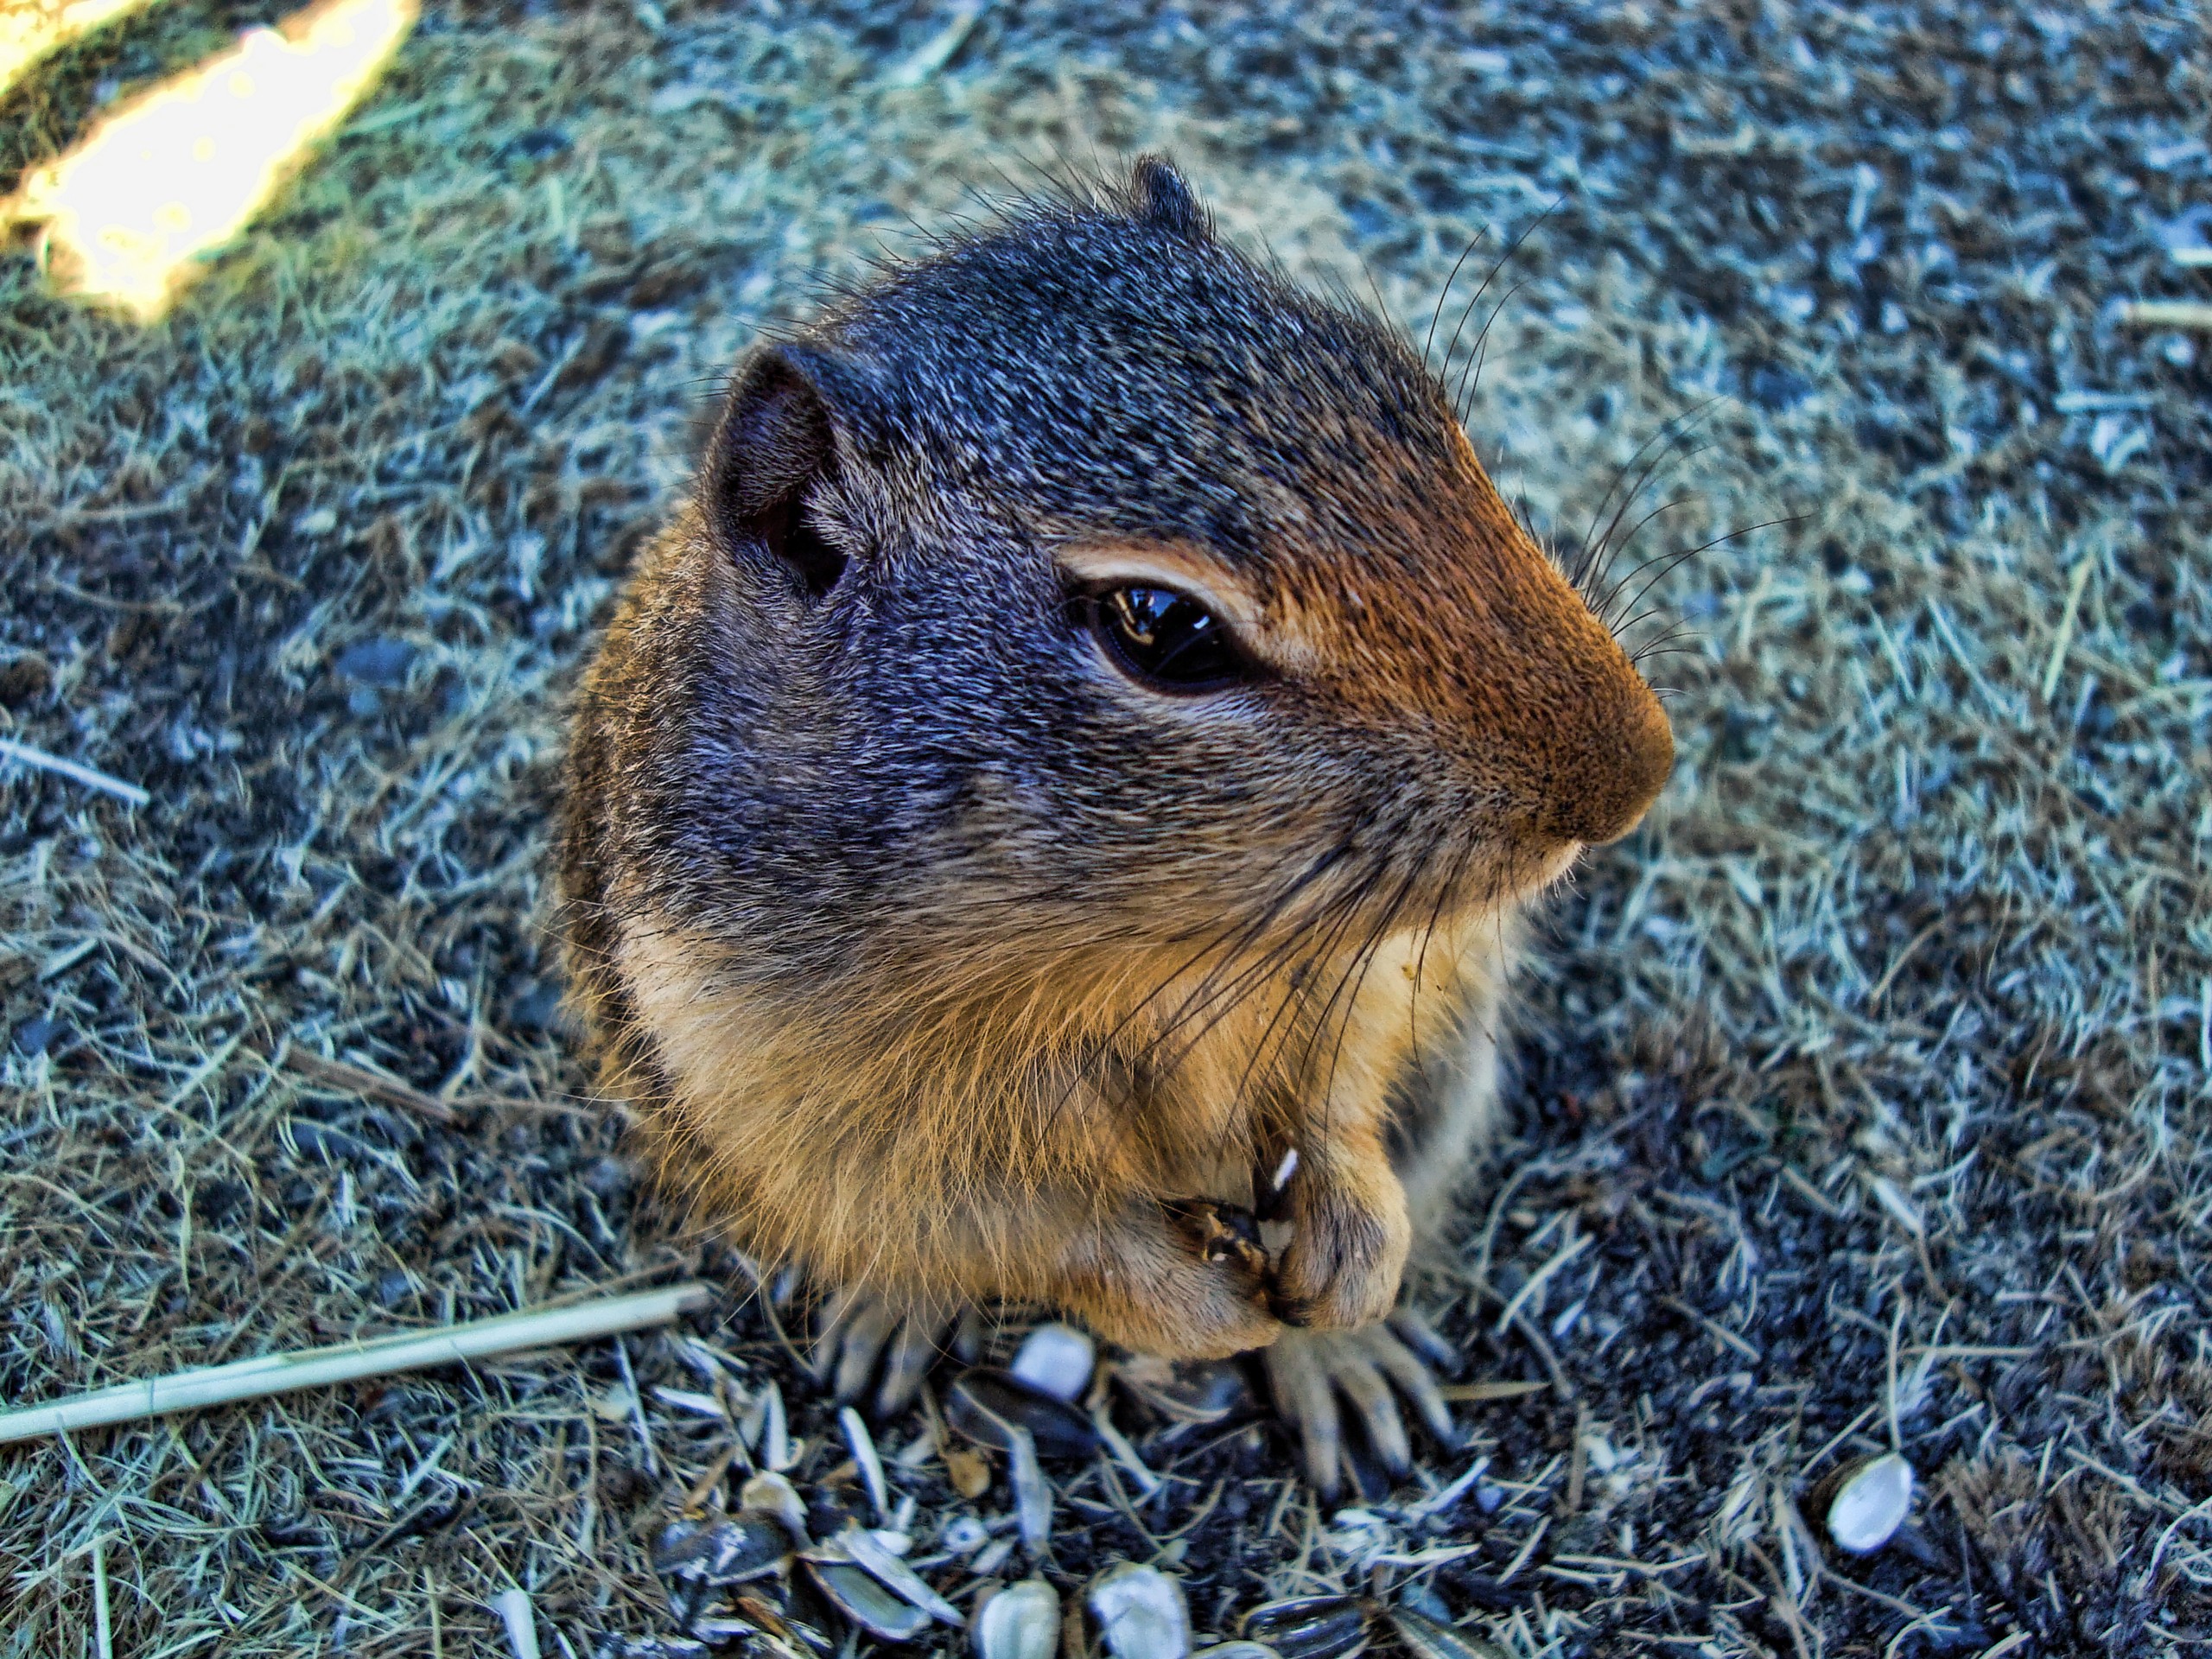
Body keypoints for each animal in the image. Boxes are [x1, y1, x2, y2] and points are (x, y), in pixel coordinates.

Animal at [562, 162, 1663, 1503]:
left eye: (1415, 397)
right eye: (1161, 626)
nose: (1639, 774)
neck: (1143, 947)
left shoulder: (1382, 961)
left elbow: (1346, 1086)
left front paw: (1346, 1256)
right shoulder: (801, 1100)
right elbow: (1017, 1227)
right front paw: (1199, 1312)